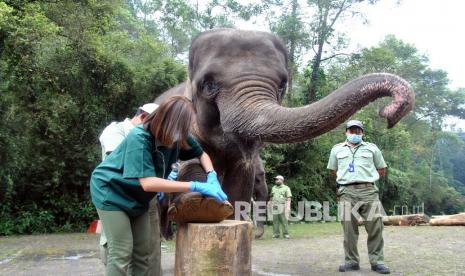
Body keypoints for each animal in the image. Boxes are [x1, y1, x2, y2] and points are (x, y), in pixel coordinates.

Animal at [155, 28, 414, 234]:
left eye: (282, 85)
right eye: (208, 85)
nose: (389, 113)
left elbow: (239, 186)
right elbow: (189, 162)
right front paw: (199, 203)